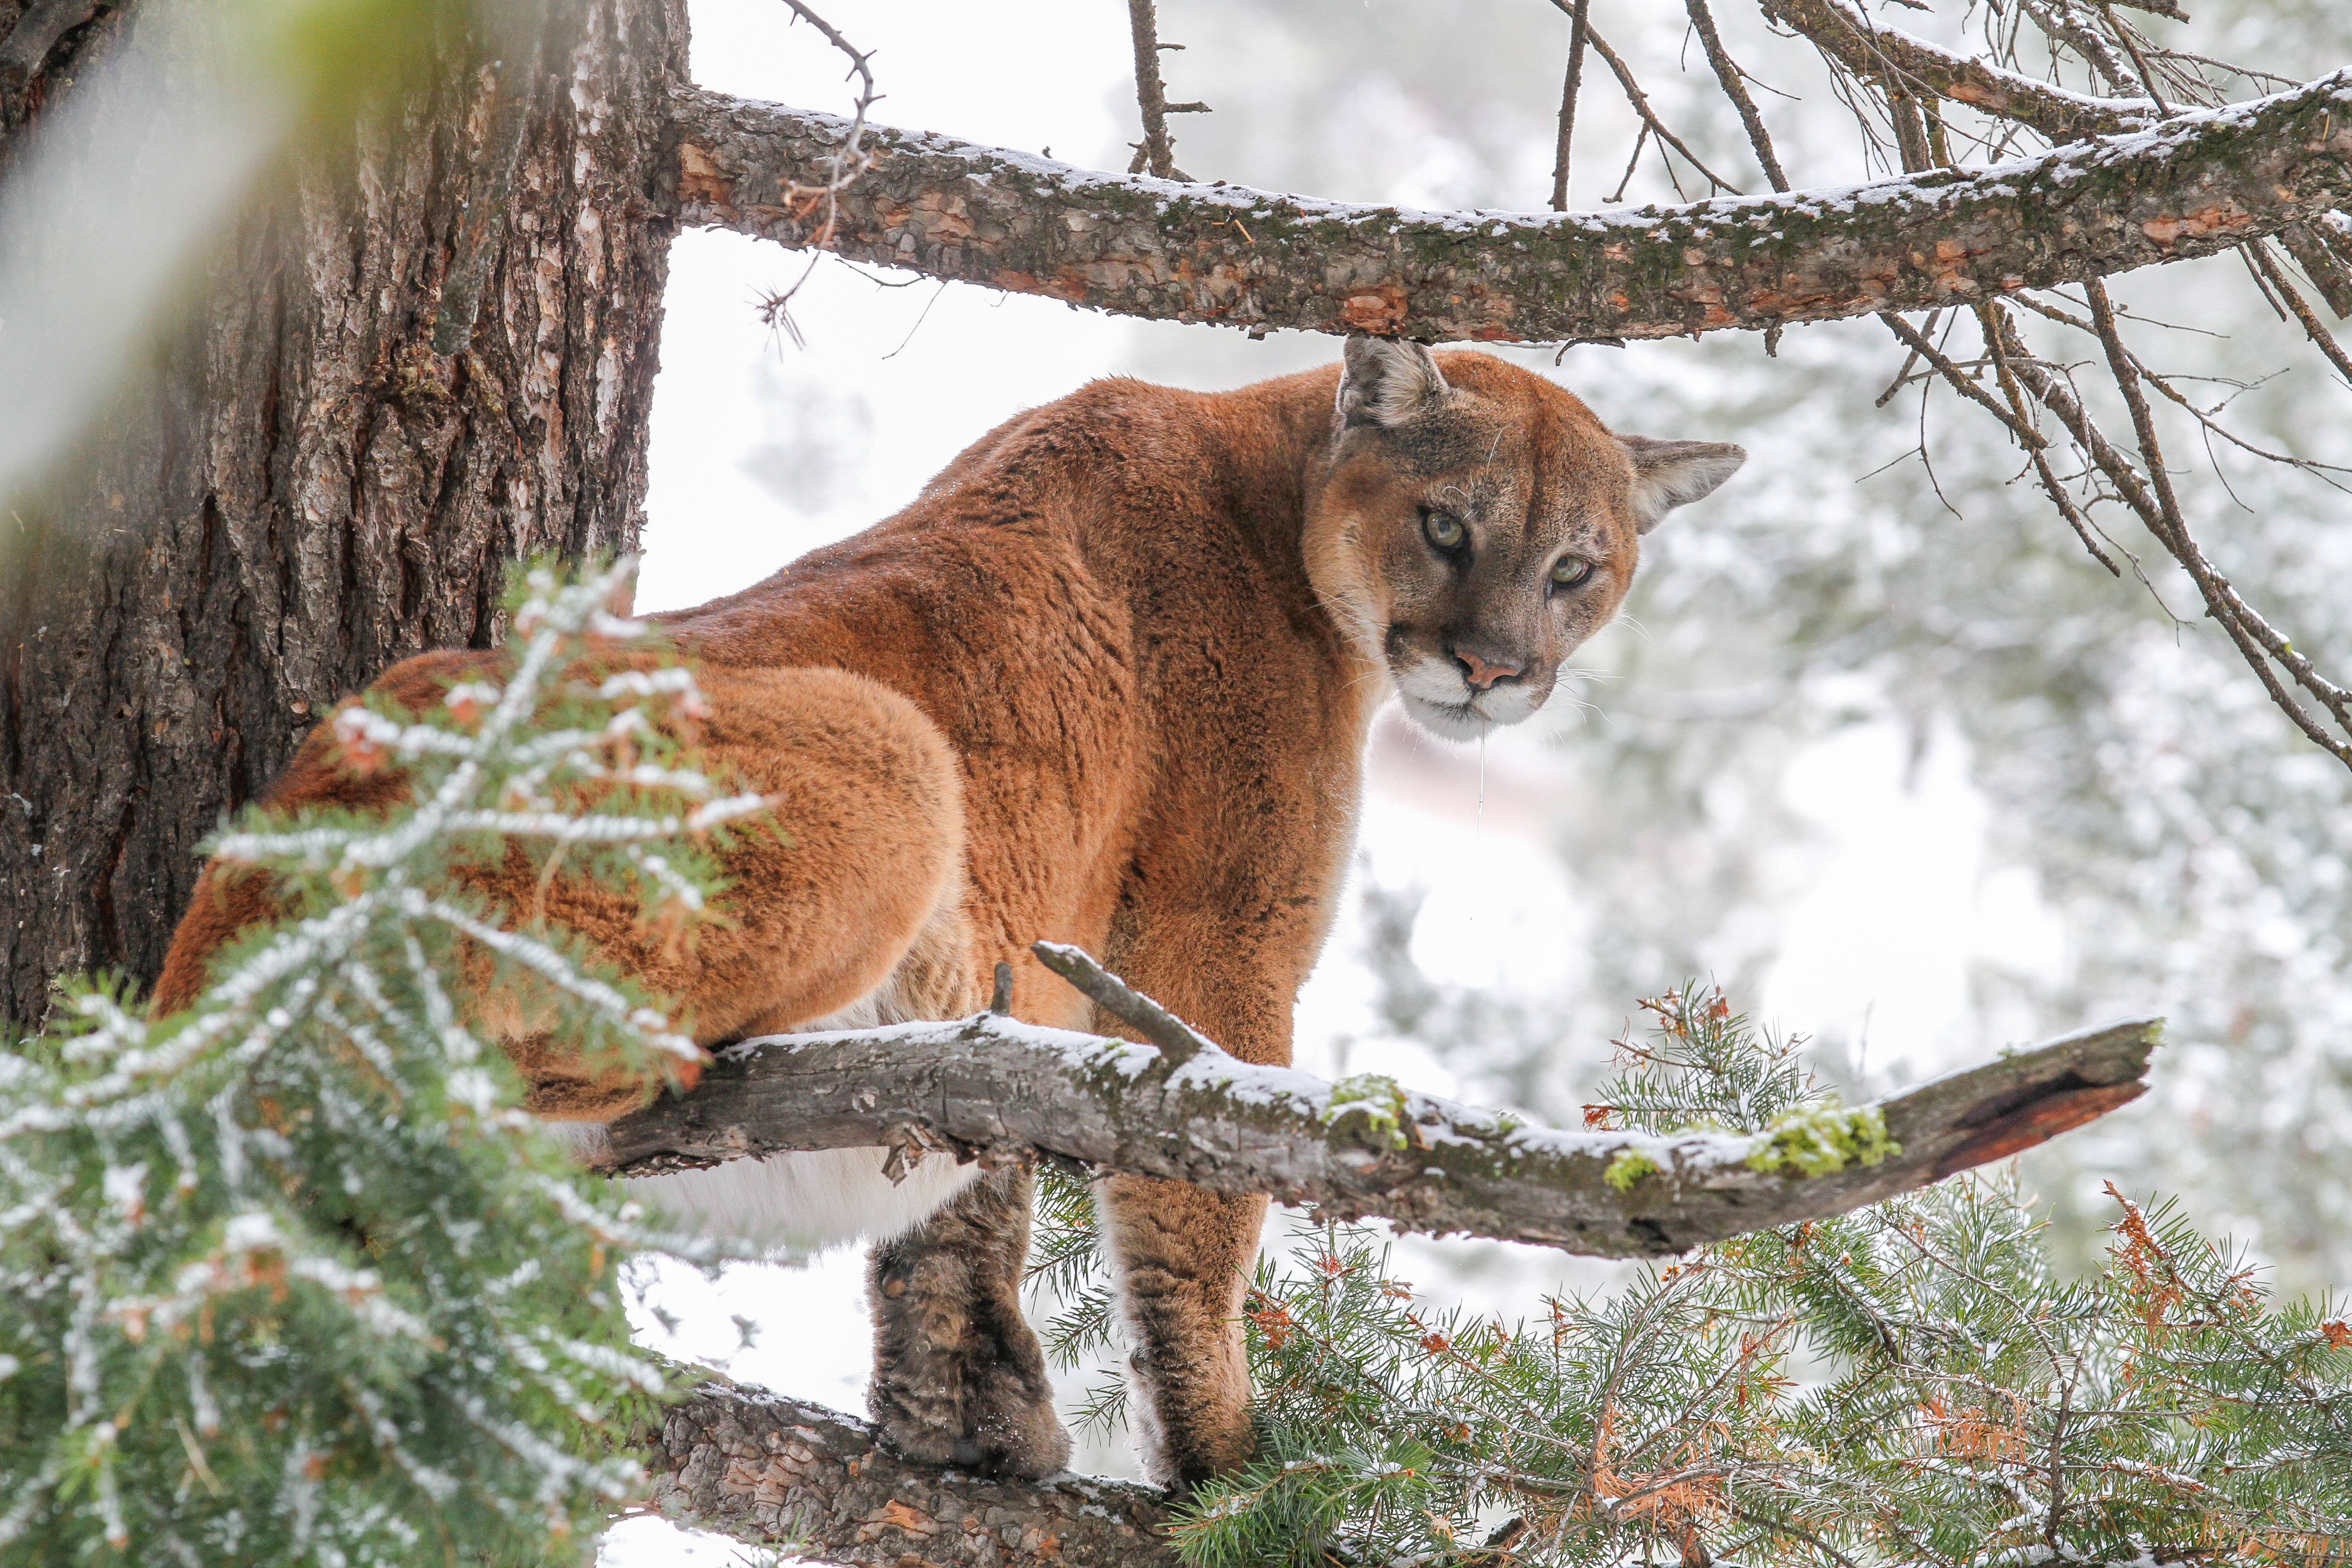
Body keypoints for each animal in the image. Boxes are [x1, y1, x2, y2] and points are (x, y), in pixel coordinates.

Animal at [155, 336, 1744, 1491]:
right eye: (1448, 525)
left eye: (1576, 568)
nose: (1494, 670)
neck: (1284, 500)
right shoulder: (1216, 945)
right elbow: (1200, 1202)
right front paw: (1232, 1468)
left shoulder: (1033, 982)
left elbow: (966, 1226)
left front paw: (964, 1421)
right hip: (893, 752)